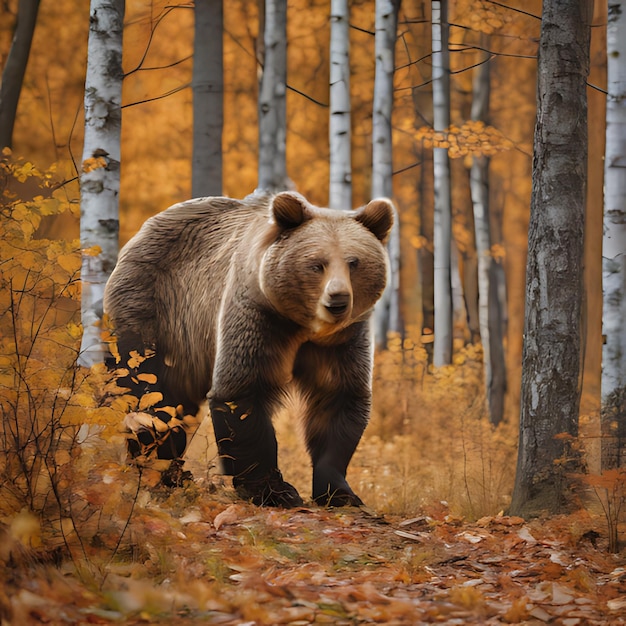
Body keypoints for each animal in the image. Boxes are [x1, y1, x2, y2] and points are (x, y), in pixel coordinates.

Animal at [104, 191, 392, 508]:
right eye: (316, 264)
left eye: (354, 262)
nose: (337, 300)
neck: (304, 325)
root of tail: (142, 230)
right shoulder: (257, 316)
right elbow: (241, 393)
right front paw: (275, 491)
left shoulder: (343, 340)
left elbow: (338, 398)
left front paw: (340, 492)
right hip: (154, 308)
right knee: (150, 391)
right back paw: (153, 468)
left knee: (178, 404)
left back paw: (171, 473)